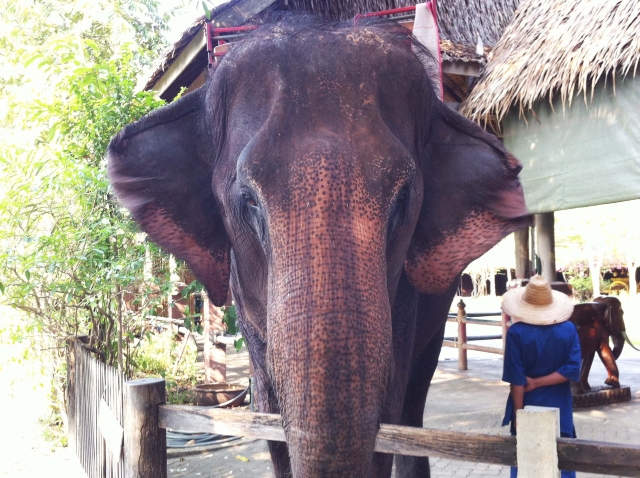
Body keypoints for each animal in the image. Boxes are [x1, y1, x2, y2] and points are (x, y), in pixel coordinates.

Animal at [107, 18, 530, 478]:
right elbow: (270, 415)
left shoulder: (406, 302)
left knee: (412, 401)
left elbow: (386, 414)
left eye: (403, 200)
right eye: (248, 200)